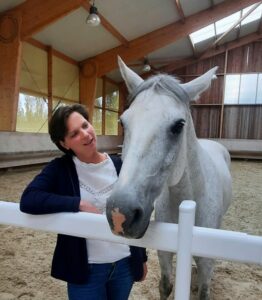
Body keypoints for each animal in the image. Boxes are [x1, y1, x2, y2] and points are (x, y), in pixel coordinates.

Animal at [106, 56, 231, 300]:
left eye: (178, 125)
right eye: (123, 122)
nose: (120, 214)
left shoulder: (207, 262)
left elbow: (204, 291)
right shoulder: (164, 252)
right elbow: (165, 286)